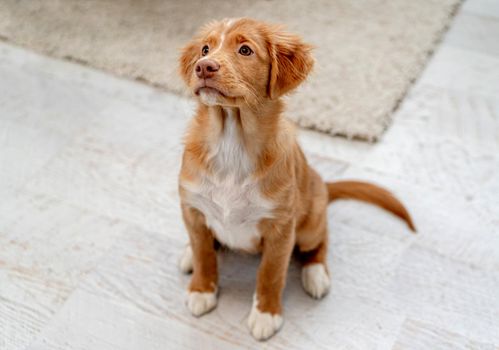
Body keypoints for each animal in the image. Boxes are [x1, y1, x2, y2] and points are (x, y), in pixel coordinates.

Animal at [176, 17, 414, 340]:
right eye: (204, 49)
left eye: (245, 50)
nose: (203, 67)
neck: (231, 142)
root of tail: (321, 184)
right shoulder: (192, 208)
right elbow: (204, 254)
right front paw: (202, 288)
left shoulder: (281, 228)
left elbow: (271, 273)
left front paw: (266, 313)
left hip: (310, 225)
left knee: (321, 240)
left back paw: (316, 274)